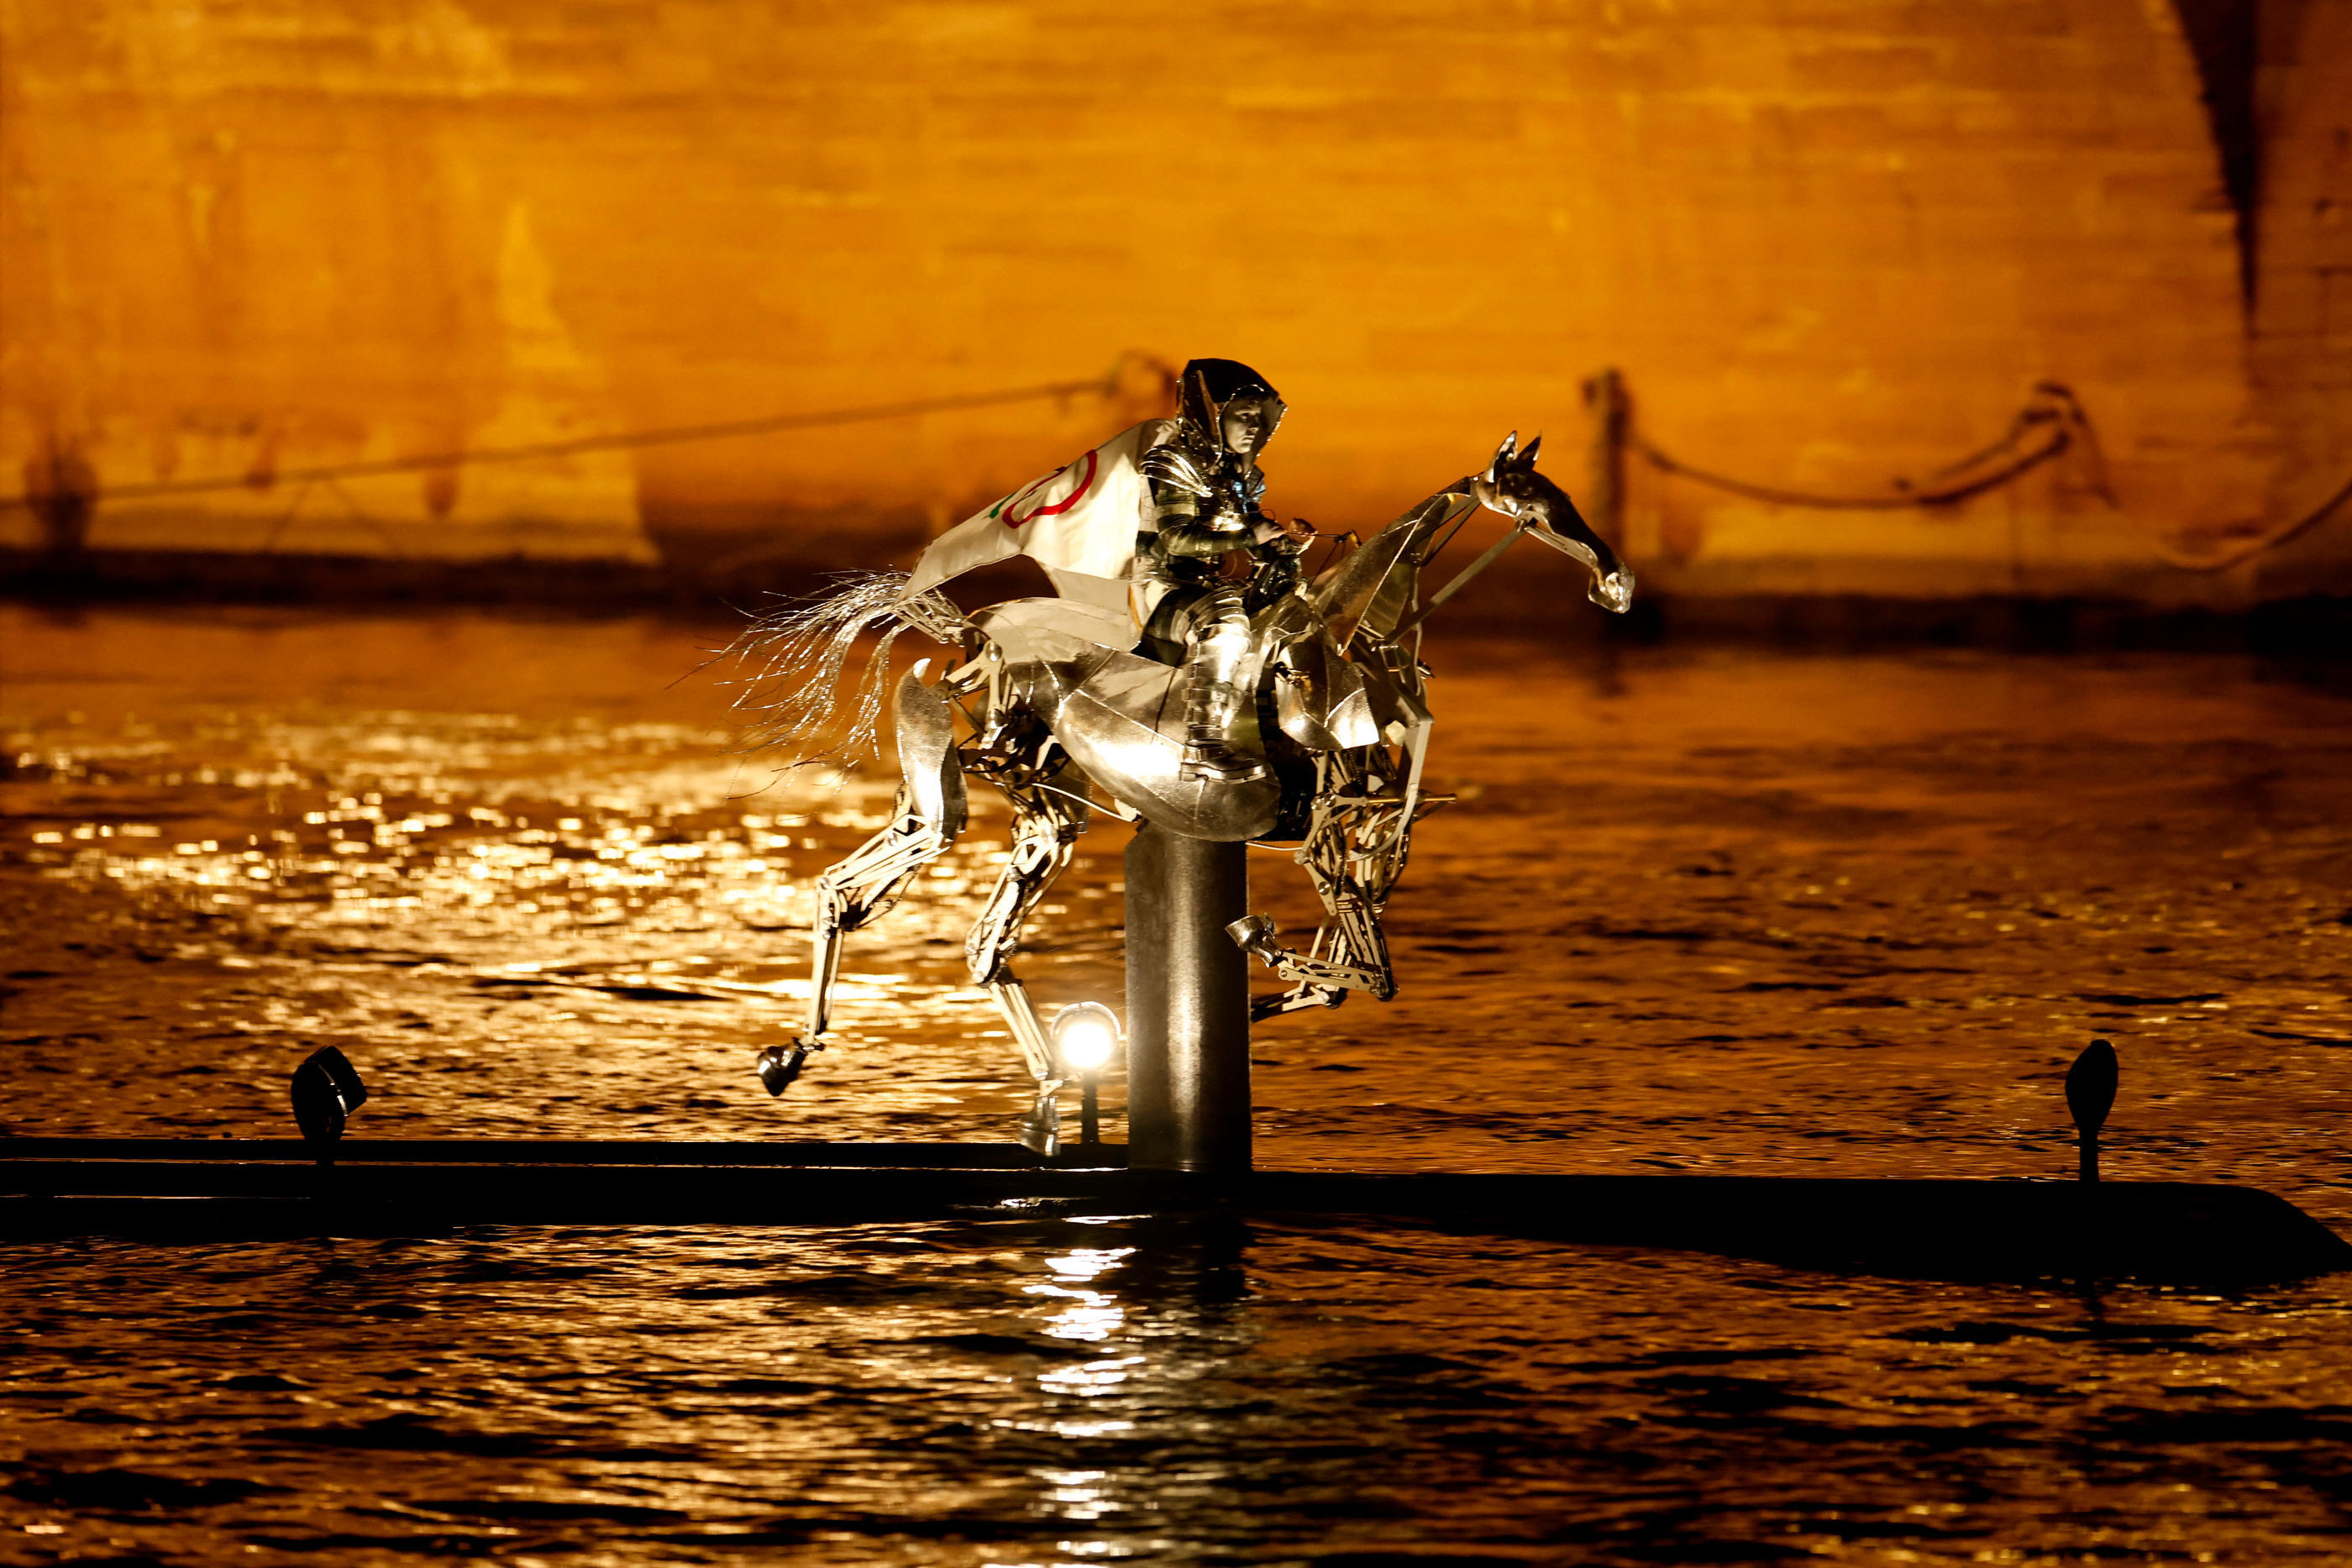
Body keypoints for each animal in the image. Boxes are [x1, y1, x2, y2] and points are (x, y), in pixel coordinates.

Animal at [743, 430, 1627, 1142]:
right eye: (1535, 503)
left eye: (1567, 496)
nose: (1616, 584)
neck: (1362, 654)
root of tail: (971, 627)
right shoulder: (1325, 834)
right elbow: (1360, 971)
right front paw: (1260, 946)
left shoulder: (1371, 842)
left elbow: (1353, 978)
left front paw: (1255, 989)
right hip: (967, 791)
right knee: (854, 886)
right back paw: (793, 1051)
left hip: (1044, 813)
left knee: (981, 944)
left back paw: (1043, 1090)